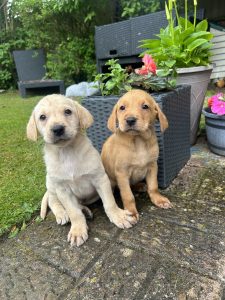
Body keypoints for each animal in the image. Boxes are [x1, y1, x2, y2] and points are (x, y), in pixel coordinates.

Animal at [26, 94, 135, 246]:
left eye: (68, 111)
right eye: (42, 117)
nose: (57, 129)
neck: (67, 152)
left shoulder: (100, 179)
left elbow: (109, 202)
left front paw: (118, 216)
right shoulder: (63, 190)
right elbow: (73, 212)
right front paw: (77, 230)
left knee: (77, 204)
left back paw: (85, 211)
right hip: (51, 184)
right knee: (53, 201)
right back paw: (62, 213)